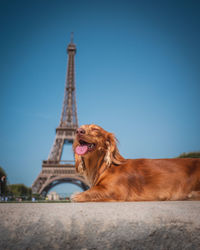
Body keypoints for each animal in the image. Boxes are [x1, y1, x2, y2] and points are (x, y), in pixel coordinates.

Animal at [71, 124, 200, 202]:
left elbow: (86, 193)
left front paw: (77, 195)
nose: (78, 131)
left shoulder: (115, 191)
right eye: (80, 128)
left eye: (95, 129)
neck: (104, 167)